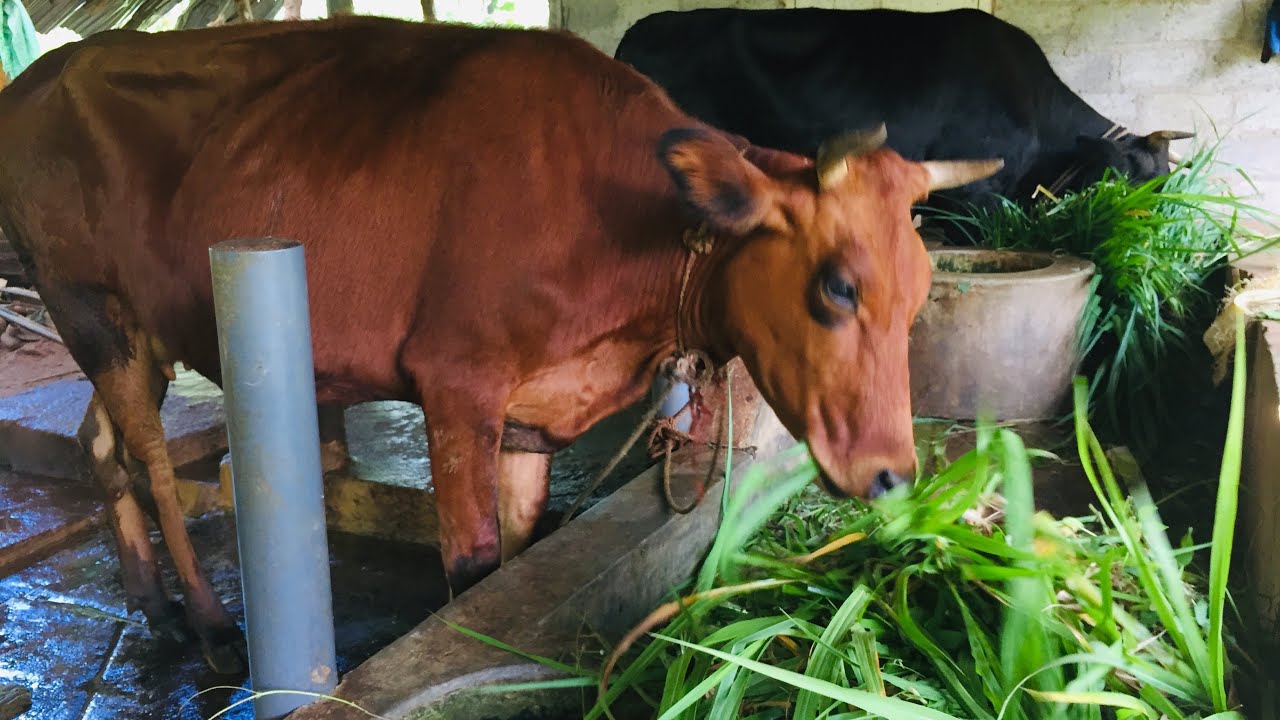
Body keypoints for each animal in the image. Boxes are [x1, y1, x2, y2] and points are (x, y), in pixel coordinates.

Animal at [0, 16, 1001, 672]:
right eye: (837, 286)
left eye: (923, 293)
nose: (892, 474)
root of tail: (42, 74)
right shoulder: (457, 382)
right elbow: (473, 563)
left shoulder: (531, 412)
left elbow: (517, 558)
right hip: (88, 304)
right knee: (152, 459)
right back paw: (208, 622)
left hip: (138, 332)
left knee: (99, 444)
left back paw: (152, 603)